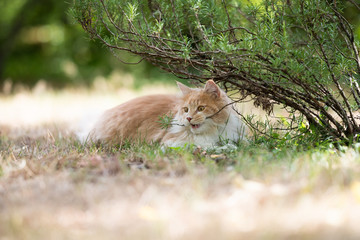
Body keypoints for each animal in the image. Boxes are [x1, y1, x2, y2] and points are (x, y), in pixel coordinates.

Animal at [89, 80, 248, 146]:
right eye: (186, 110)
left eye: (201, 108)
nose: (188, 118)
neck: (214, 131)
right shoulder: (171, 142)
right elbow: (207, 146)